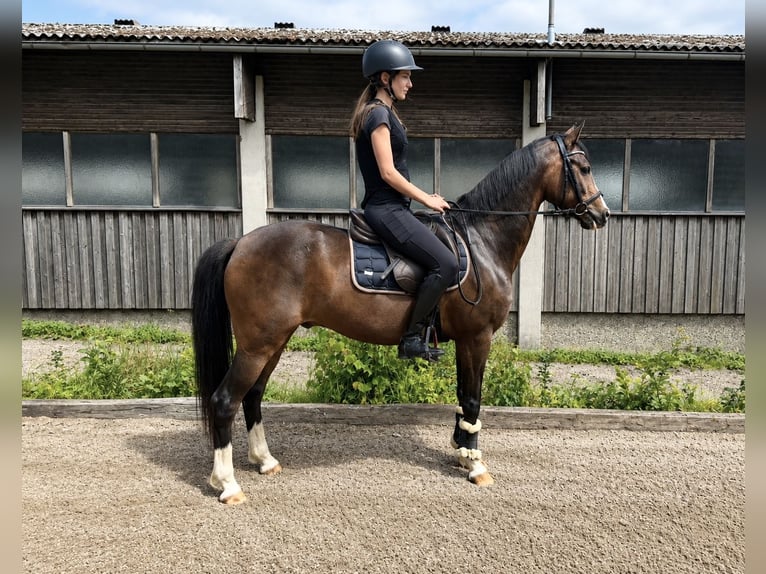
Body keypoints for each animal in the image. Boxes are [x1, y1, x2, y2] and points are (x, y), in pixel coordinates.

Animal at [191, 124, 610, 504]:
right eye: (584, 167)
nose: (602, 214)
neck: (480, 240)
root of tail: (241, 242)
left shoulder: (465, 341)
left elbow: (463, 396)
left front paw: (463, 451)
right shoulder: (477, 337)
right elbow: (473, 398)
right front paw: (476, 465)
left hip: (274, 341)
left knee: (253, 396)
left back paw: (264, 461)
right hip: (258, 345)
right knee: (225, 400)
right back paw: (227, 485)